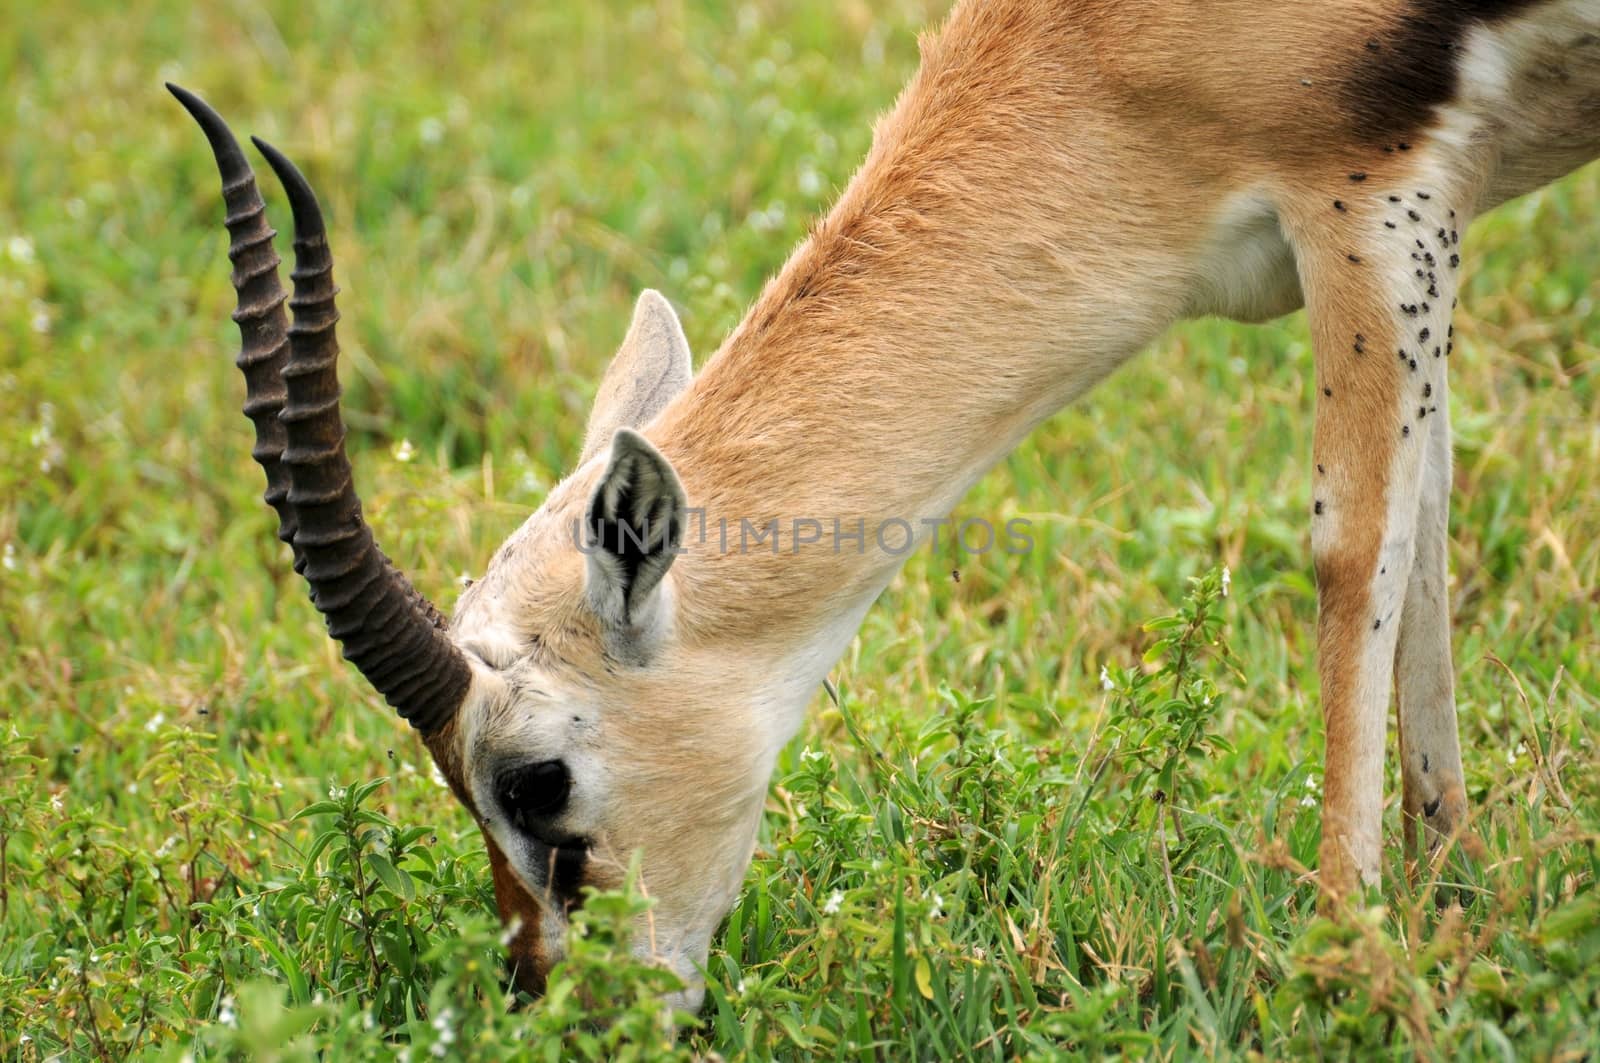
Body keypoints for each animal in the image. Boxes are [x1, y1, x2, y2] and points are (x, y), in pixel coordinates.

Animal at [172, 0, 1600, 1005]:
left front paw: (1344, 954)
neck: (1106, 45)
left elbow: (1355, 551)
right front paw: (1452, 888)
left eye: (536, 781)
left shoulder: (1369, 199)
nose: (560, 1008)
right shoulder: (1419, 229)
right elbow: (1423, 538)